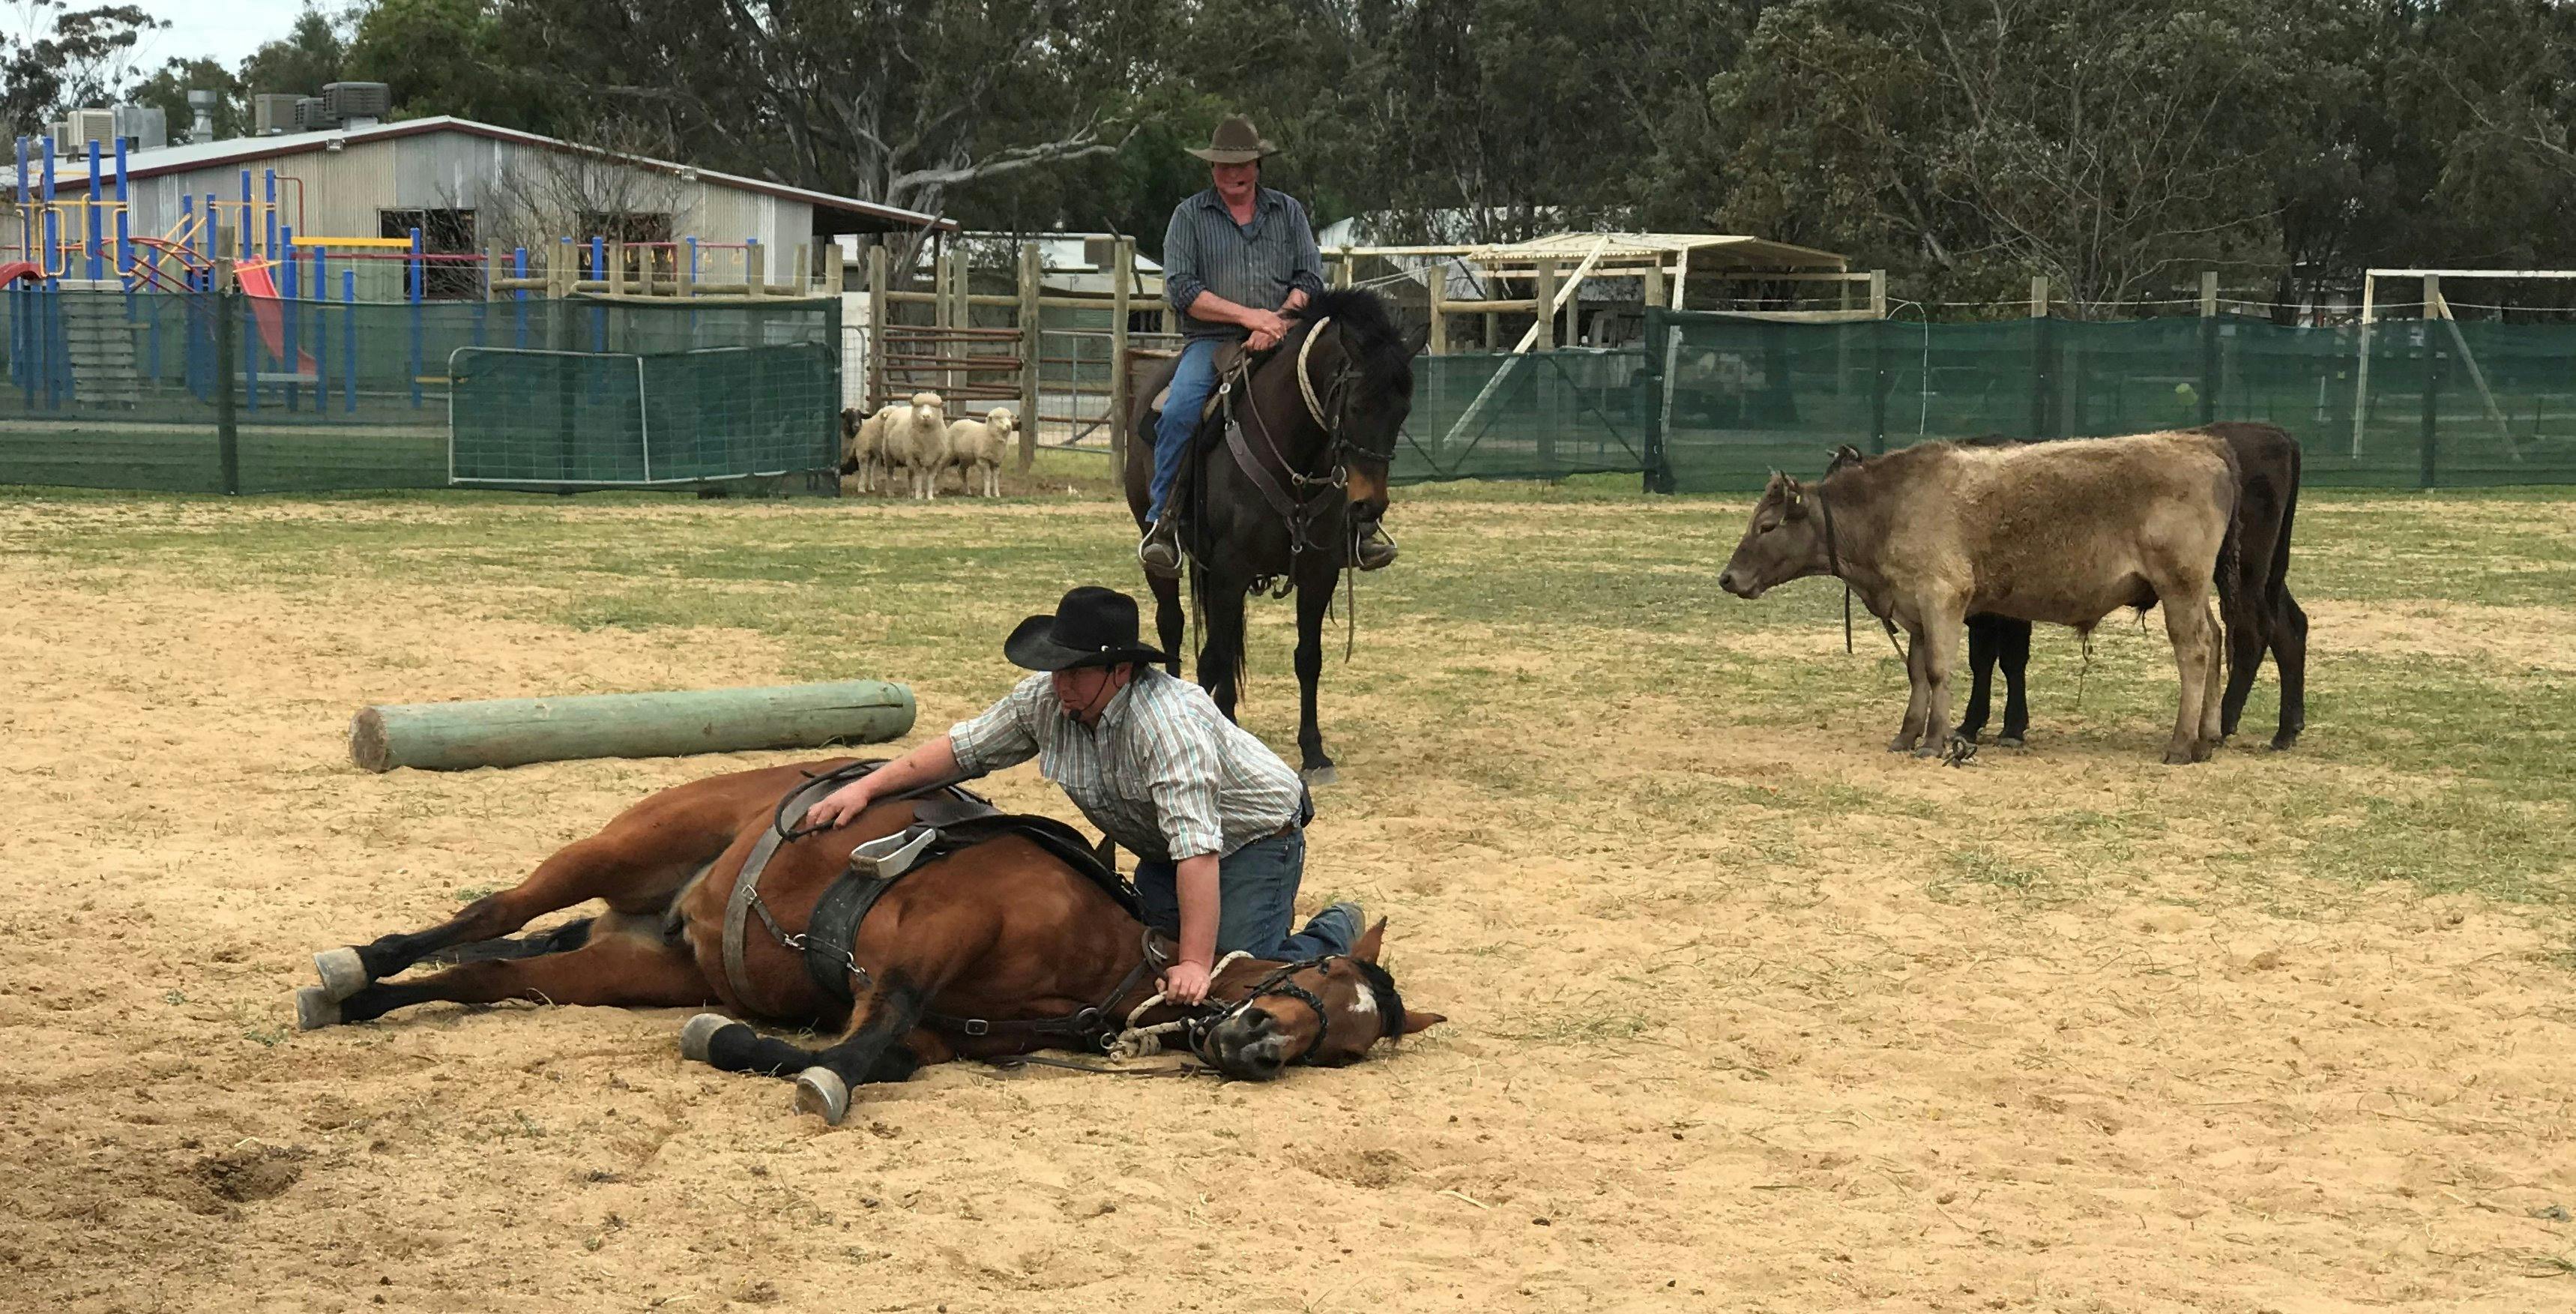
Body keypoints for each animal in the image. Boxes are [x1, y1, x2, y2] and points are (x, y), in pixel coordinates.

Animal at [296, 757, 1453, 1118]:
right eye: (1322, 971)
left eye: (1351, 1044)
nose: (1255, 1045)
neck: (1109, 959)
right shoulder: (930, 932)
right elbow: (865, 1042)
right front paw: (806, 1073)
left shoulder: (948, 1028)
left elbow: (881, 1050)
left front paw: (732, 1042)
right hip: (620, 849)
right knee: (490, 913)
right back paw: (355, 966)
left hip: (634, 963)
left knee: (495, 971)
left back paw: (369, 999)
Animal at [1123, 287, 1432, 778]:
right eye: (1356, 405)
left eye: (1402, 411)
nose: (1368, 506)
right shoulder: (1230, 570)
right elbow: (1215, 657)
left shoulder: (1318, 572)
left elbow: (1307, 658)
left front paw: (1314, 752)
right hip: (1162, 555)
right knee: (1171, 624)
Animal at [1720, 430, 2246, 762]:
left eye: (1765, 527)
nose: (1727, 578)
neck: (1889, 508)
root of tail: (2205, 444)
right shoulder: (1915, 610)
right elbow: (1917, 674)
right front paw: (1907, 734)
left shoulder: (1942, 597)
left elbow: (1938, 671)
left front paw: (1934, 741)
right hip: (2192, 592)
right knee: (2217, 638)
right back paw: (2206, 738)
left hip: (2179, 586)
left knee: (2195, 651)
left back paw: (2181, 744)